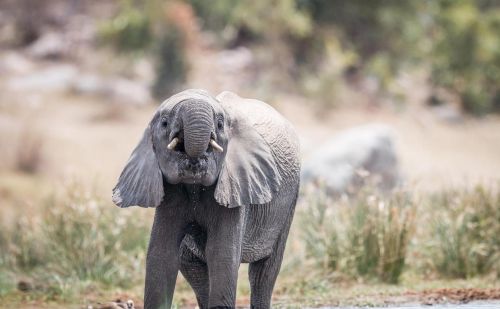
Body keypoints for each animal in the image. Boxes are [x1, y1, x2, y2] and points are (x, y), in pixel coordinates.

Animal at [112, 89, 300, 308]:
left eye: (219, 124)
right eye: (164, 122)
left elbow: (221, 255)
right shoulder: (170, 194)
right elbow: (161, 255)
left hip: (290, 201)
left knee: (264, 272)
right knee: (194, 269)